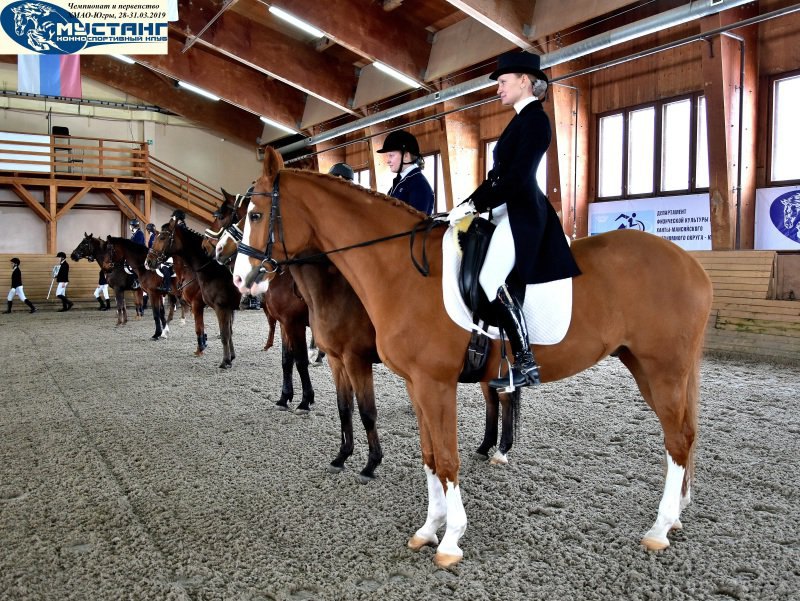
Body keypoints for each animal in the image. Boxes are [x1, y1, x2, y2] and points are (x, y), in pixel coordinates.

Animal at [146, 216, 241, 366]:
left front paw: (206, 351)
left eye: (162, 237)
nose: (149, 261)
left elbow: (206, 329)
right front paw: (229, 356)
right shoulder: (225, 308)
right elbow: (227, 332)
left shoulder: (208, 306)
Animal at [236, 148, 712, 564]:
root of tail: (690, 263)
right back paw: (677, 516)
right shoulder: (415, 384)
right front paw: (429, 529)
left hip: (663, 368)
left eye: (255, 215)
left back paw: (659, 529)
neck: (401, 271)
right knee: (686, 435)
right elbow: (429, 456)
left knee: (678, 439)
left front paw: (451, 540)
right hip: (645, 366)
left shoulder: (431, 382)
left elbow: (447, 458)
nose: (241, 279)